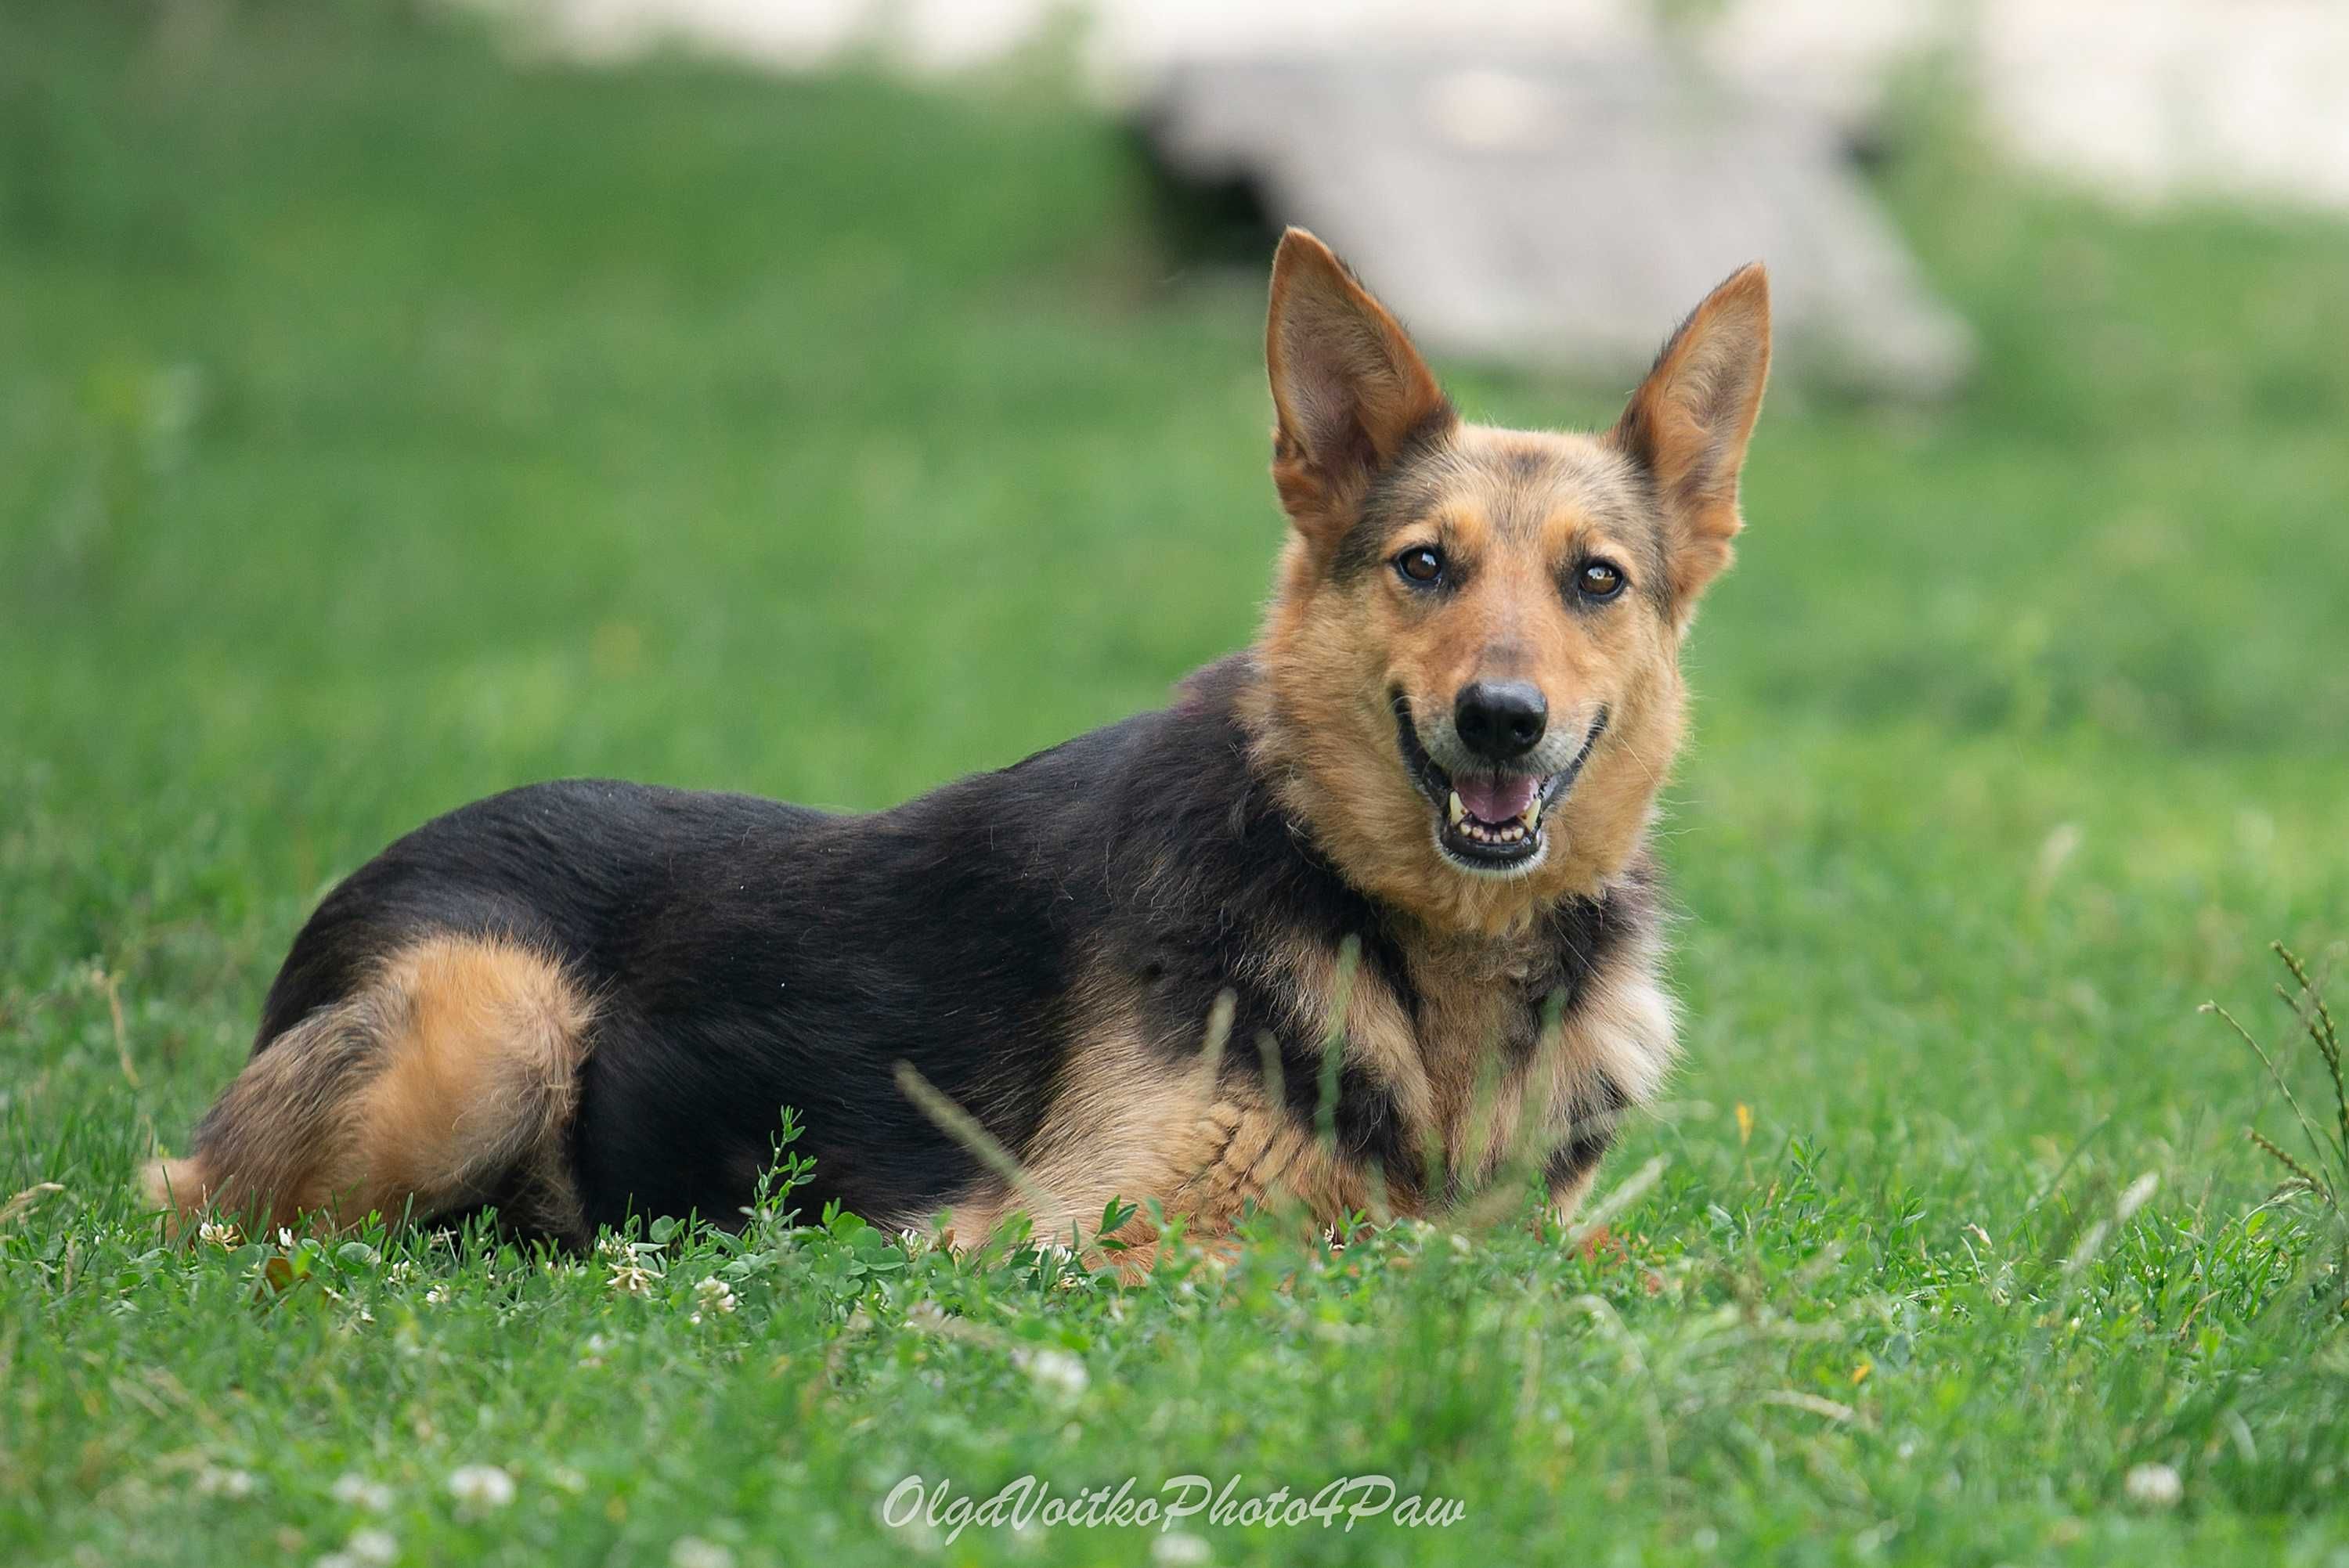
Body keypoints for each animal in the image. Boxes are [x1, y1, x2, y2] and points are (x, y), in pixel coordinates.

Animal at [142, 232, 1766, 1258]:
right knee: (193, 1198)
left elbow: (1630, 1260)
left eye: (1596, 581)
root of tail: (356, 883)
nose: (1504, 718)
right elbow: (1392, 1254)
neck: (1414, 939)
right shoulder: (1087, 1233)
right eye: (1426, 566)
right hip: (498, 1011)